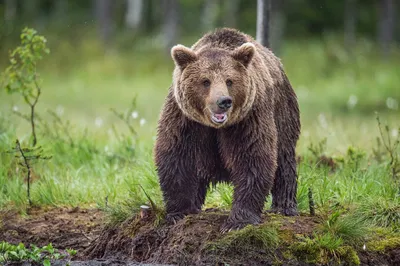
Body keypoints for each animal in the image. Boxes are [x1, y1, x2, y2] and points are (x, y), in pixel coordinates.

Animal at [153, 28, 300, 232]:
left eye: (229, 81)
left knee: (284, 159)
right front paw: (179, 212)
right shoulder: (185, 120)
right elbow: (177, 156)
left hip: (283, 112)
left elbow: (252, 158)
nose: (224, 101)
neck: (215, 126)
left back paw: (284, 206)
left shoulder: (248, 120)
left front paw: (238, 221)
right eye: (205, 81)